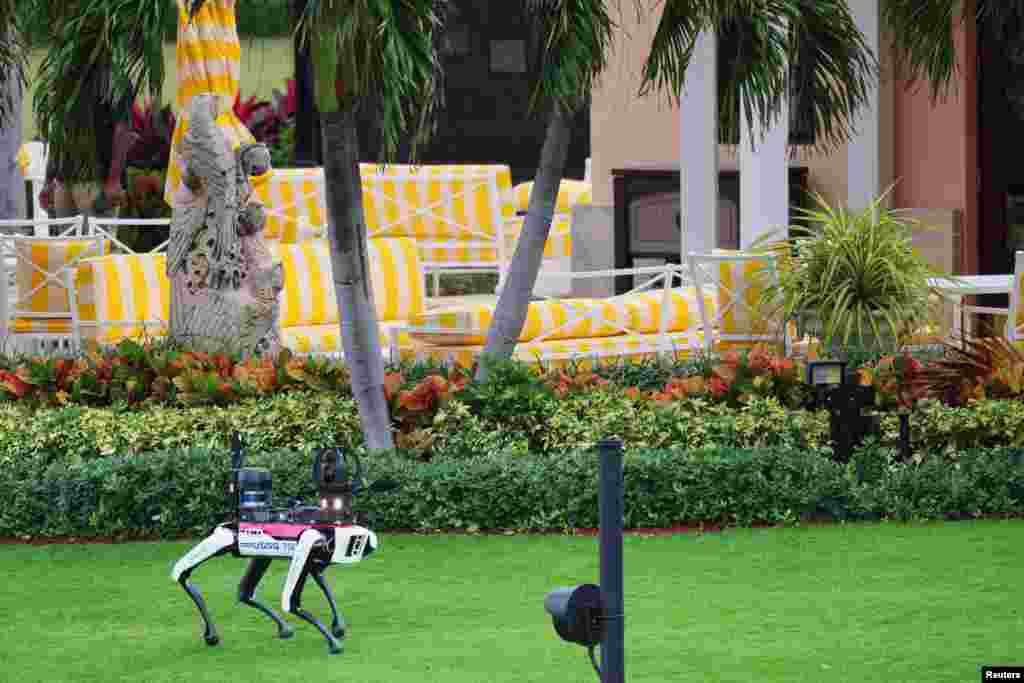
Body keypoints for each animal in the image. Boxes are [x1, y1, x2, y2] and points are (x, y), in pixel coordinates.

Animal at [169, 436, 393, 655]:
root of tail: (235, 518)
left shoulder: (312, 556)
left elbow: (319, 582)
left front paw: (337, 627)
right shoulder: (309, 545)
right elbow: (292, 602)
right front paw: (333, 642)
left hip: (259, 555)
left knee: (244, 592)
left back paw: (280, 627)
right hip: (227, 539)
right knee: (182, 573)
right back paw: (212, 633)